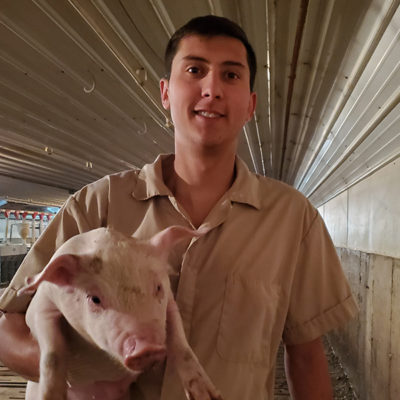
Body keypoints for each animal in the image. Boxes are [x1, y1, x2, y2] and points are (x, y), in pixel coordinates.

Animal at [18, 227, 223, 398]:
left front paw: (208, 396)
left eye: (158, 287)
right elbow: (52, 355)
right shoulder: (39, 306)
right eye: (94, 299)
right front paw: (49, 396)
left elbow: (181, 344)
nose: (147, 349)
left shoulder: (170, 302)